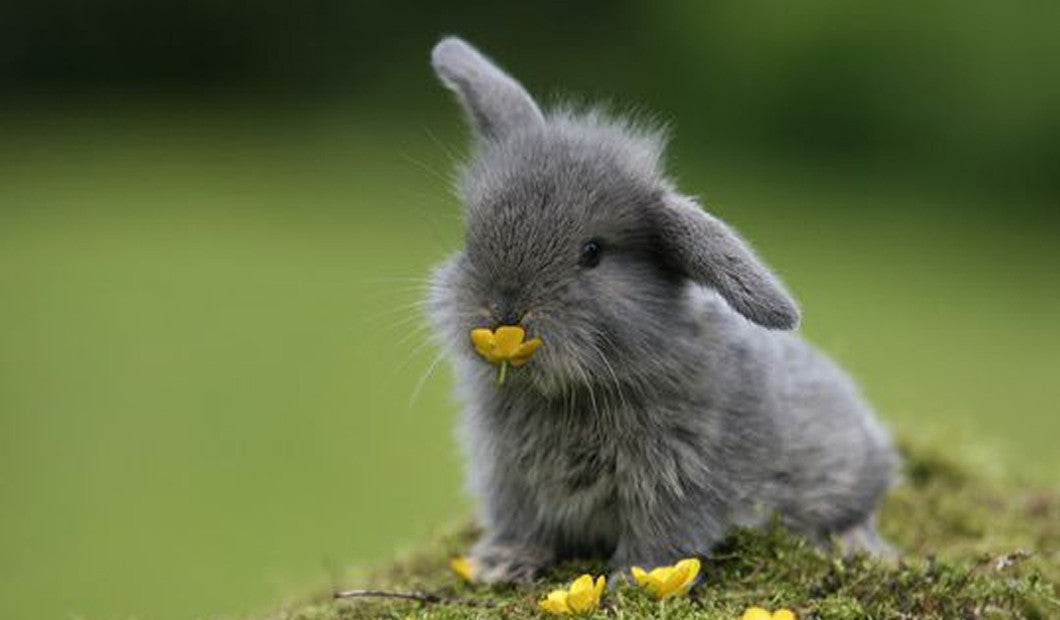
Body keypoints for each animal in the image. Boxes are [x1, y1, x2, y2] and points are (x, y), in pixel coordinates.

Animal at [426, 36, 898, 584]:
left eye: (592, 252)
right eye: (472, 236)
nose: (504, 310)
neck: (574, 392)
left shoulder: (679, 480)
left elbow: (662, 534)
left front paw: (636, 579)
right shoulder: (510, 479)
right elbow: (524, 524)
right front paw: (499, 562)